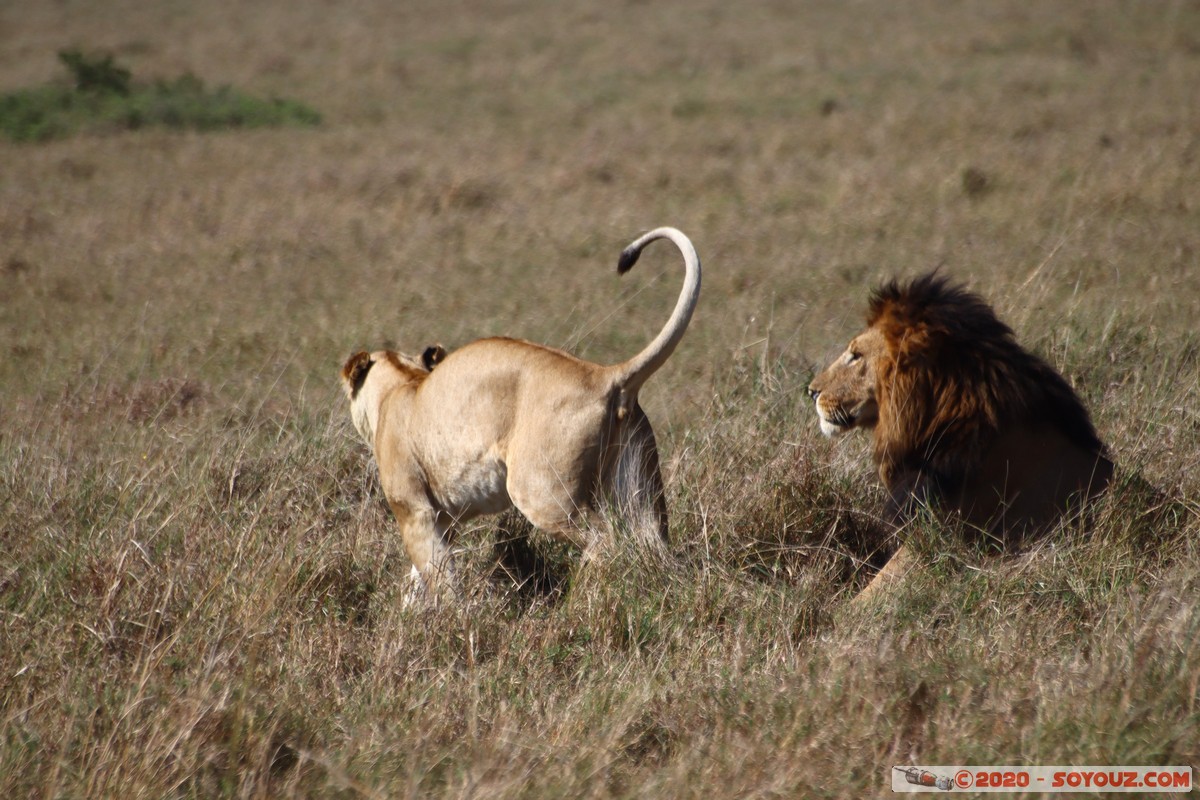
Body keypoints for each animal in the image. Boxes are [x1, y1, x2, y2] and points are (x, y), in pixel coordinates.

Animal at [341, 227, 700, 602]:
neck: (401, 383)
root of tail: (605, 374)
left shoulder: (414, 509)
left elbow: (438, 575)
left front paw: (448, 615)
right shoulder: (444, 519)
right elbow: (421, 577)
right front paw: (413, 609)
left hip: (541, 490)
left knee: (605, 540)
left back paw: (577, 603)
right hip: (640, 491)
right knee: (655, 549)